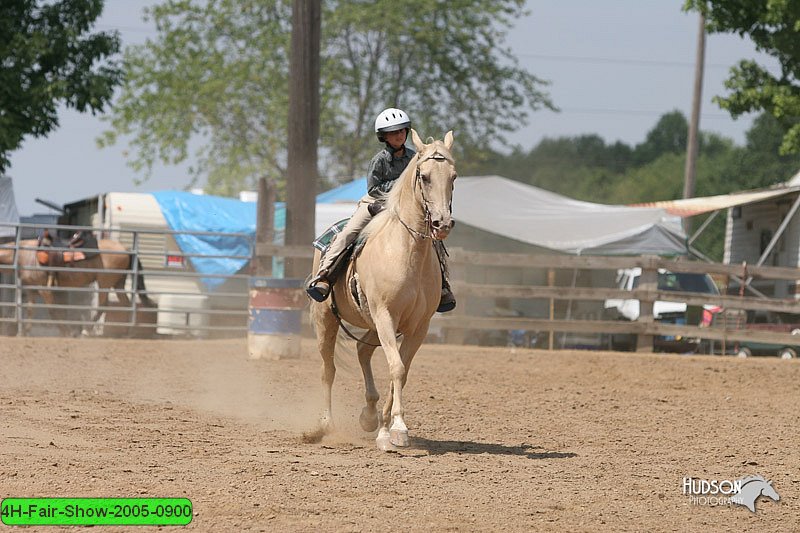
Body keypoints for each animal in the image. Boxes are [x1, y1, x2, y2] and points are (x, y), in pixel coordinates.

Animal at [0, 239, 154, 334]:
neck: (23, 254)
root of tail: (126, 249)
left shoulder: (44, 290)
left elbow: (53, 311)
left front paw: (67, 332)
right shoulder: (32, 290)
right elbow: (30, 310)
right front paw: (24, 331)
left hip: (104, 282)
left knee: (103, 305)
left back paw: (87, 330)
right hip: (118, 283)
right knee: (126, 304)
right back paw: (127, 332)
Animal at [308, 129, 456, 448]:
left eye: (453, 176)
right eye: (425, 176)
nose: (442, 223)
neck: (406, 251)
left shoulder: (417, 326)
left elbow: (400, 370)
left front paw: (388, 427)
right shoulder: (386, 315)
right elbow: (397, 368)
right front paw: (395, 428)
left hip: (373, 322)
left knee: (363, 350)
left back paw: (369, 415)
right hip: (327, 320)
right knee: (328, 370)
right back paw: (325, 424)